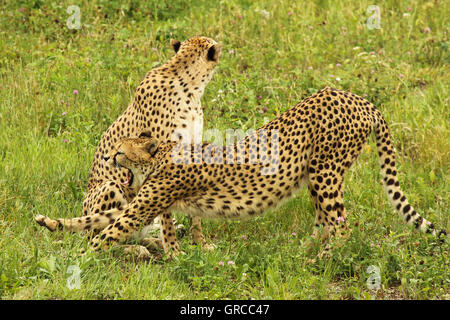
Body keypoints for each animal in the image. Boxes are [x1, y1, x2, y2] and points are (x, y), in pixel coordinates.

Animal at [37, 86, 448, 256]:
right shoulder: (154, 203)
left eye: (120, 152)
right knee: (325, 222)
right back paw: (301, 252)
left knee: (343, 226)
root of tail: (359, 98)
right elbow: (98, 220)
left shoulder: (147, 203)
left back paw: (325, 259)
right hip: (317, 175)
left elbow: (107, 232)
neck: (160, 156)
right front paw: (50, 224)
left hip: (326, 172)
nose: (107, 160)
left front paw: (77, 263)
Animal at [78, 37, 221, 250]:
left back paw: (151, 243)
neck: (191, 88)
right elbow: (166, 218)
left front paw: (200, 244)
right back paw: (137, 249)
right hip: (111, 187)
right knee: (100, 239)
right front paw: (173, 250)